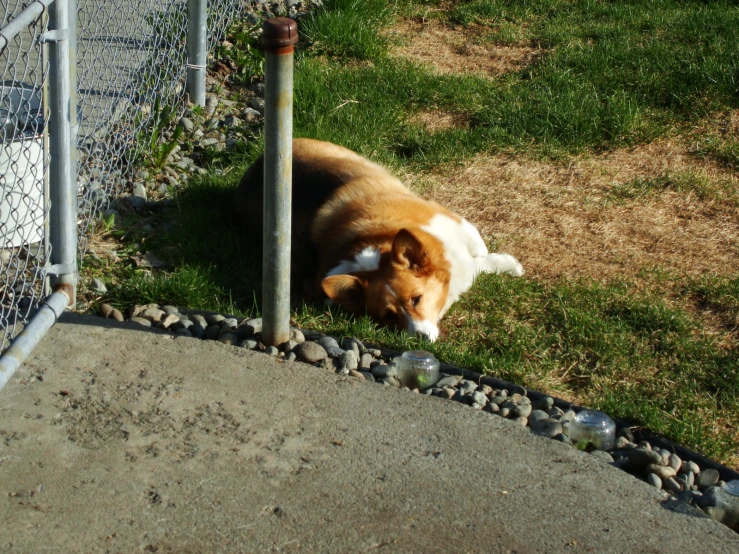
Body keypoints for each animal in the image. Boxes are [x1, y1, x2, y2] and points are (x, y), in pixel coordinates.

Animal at [234, 137, 524, 340]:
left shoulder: (451, 222)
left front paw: (509, 266)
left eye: (417, 299)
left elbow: (480, 252)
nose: (420, 339)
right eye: (389, 316)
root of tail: (255, 167)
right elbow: (477, 262)